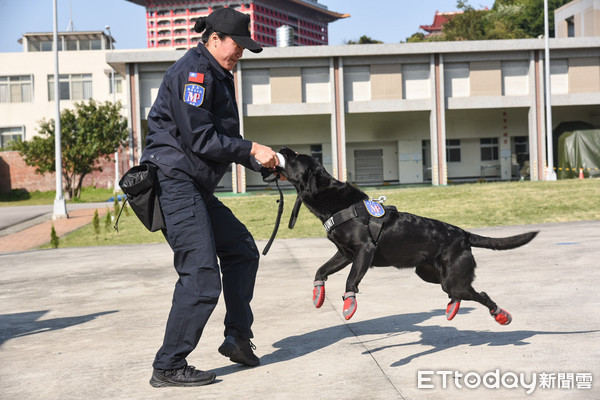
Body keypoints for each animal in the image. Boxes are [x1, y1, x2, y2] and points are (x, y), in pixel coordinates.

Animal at [276, 147, 540, 324]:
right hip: (430, 274)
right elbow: (320, 271)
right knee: (456, 294)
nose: (283, 148)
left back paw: (501, 315)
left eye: (295, 157)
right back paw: (453, 308)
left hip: (452, 277)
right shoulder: (345, 254)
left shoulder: (364, 251)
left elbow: (351, 281)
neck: (334, 201)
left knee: (478, 294)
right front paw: (317, 294)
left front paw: (349, 304)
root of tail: (463, 234)